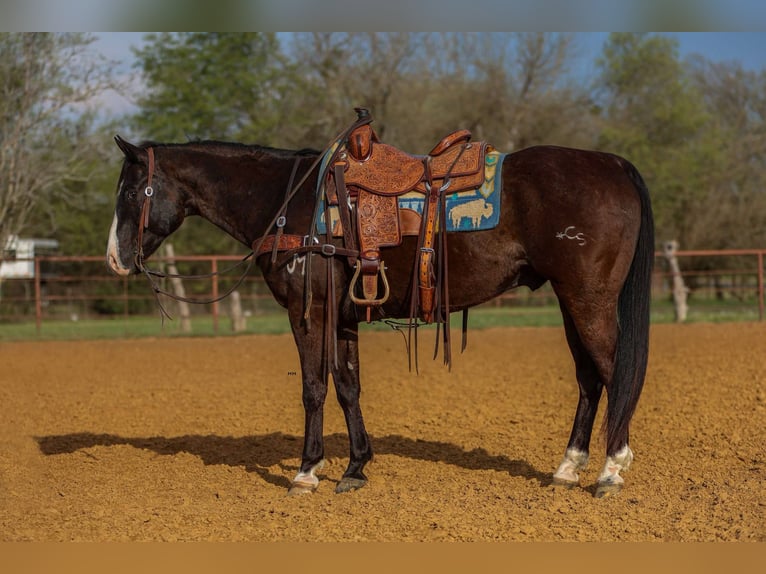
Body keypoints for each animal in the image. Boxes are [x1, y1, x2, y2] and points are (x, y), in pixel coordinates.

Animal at [106, 122, 654, 498]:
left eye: (131, 191)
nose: (115, 258)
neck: (289, 202)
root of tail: (614, 165)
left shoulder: (309, 314)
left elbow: (313, 389)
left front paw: (306, 472)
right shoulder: (343, 319)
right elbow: (348, 388)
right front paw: (355, 467)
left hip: (588, 299)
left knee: (613, 372)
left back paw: (610, 471)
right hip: (569, 299)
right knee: (589, 378)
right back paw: (568, 468)